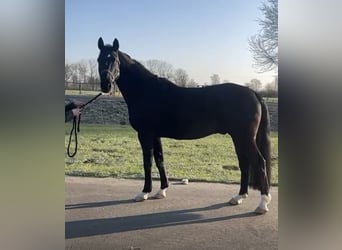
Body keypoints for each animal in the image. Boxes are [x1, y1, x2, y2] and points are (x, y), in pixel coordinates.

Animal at [97, 38, 272, 214]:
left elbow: (148, 163)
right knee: (245, 163)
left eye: (114, 59)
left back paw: (262, 204)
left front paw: (144, 193)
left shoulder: (145, 134)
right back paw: (239, 197)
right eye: (99, 59)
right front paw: (161, 191)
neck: (145, 91)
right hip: (238, 138)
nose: (106, 85)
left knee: (259, 162)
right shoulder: (155, 135)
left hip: (244, 137)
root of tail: (253, 93)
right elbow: (160, 160)